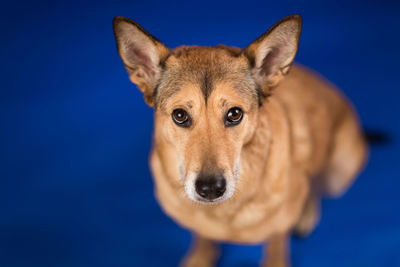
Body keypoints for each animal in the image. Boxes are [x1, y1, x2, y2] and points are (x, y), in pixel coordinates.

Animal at [112, 14, 368, 267]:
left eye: (234, 114)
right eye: (180, 115)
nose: (210, 189)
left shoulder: (279, 226)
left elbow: (277, 243)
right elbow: (202, 234)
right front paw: (200, 256)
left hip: (339, 172)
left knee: (315, 187)